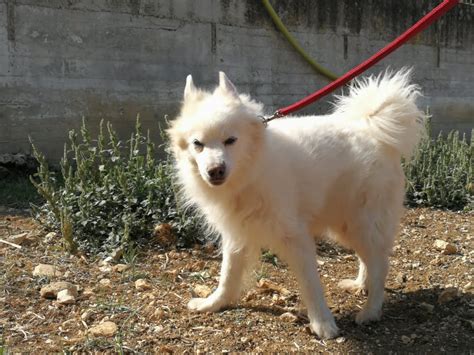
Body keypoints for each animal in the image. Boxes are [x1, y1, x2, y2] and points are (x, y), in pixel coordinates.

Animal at [167, 69, 422, 340]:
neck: (251, 172)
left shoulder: (296, 236)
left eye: (230, 140)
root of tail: (372, 129)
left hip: (362, 223)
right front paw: (214, 303)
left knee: (380, 264)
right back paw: (360, 285)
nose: (215, 170)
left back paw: (371, 311)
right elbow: (228, 275)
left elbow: (311, 284)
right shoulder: (236, 235)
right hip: (348, 226)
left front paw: (323, 324)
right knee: (369, 261)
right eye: (198, 144)